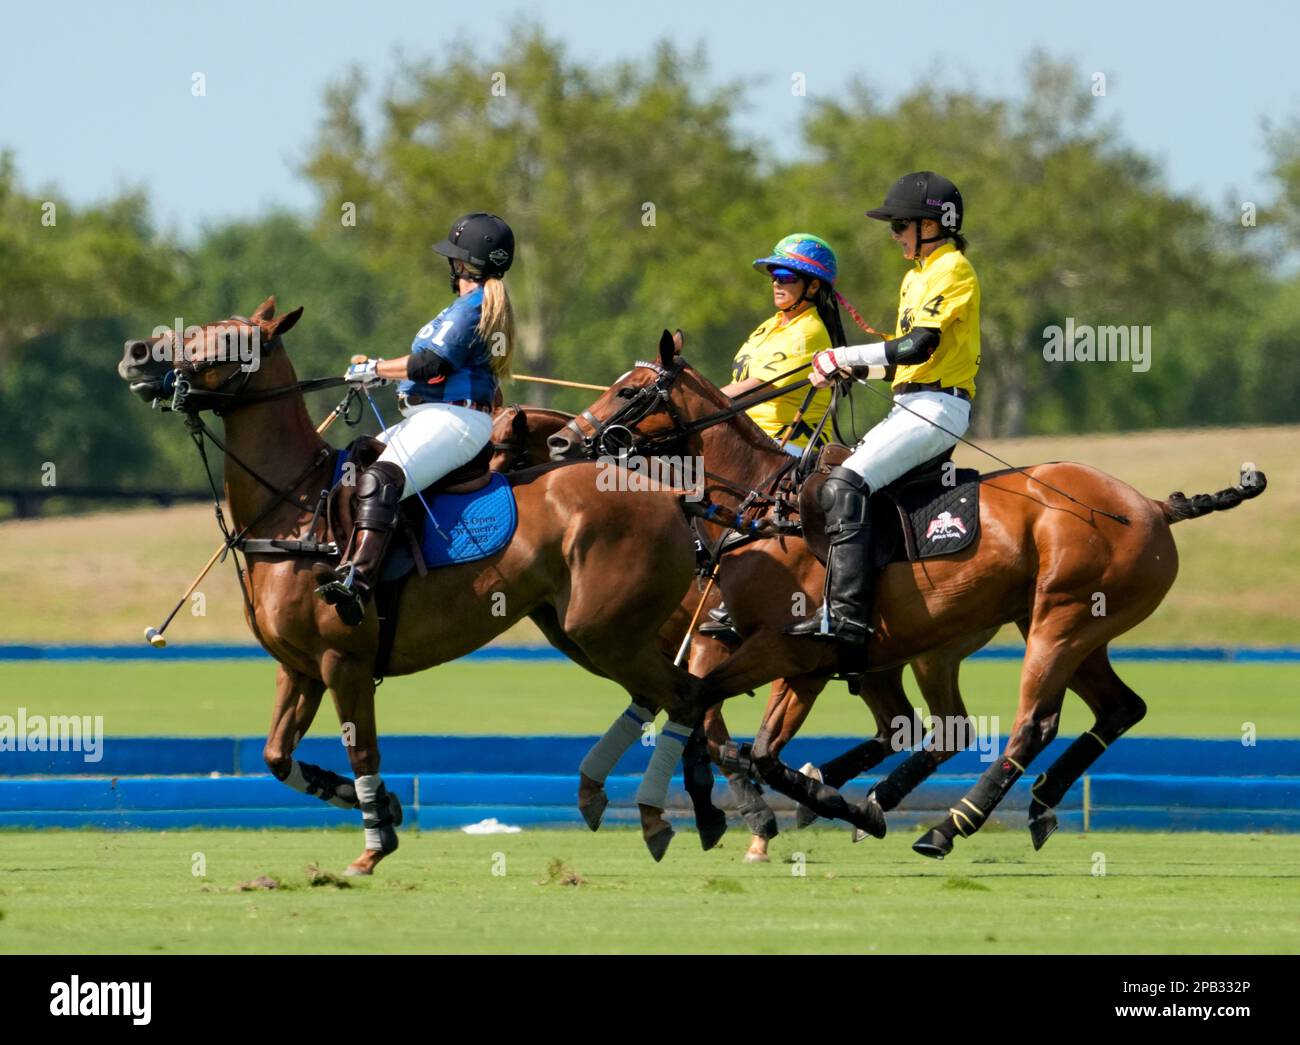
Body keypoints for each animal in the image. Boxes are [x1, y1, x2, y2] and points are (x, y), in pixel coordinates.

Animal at [115, 300, 712, 863]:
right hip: (579, 632)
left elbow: (363, 752)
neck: (294, 507)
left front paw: (375, 843)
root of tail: (671, 498)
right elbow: (277, 757)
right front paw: (386, 806)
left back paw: (666, 814)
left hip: (607, 631)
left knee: (686, 694)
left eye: (227, 341)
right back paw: (667, 806)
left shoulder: (344, 661)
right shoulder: (298, 666)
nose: (136, 353)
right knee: (676, 696)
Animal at [548, 335, 1268, 857]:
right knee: (1109, 709)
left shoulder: (791, 656)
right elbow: (727, 728)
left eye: (631, 390)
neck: (763, 507)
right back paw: (1027, 805)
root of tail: (1151, 506)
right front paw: (813, 803)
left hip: (1058, 622)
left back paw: (947, 825)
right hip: (1048, 629)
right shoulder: (771, 654)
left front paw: (792, 809)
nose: (562, 440)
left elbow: (731, 732)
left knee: (1029, 724)